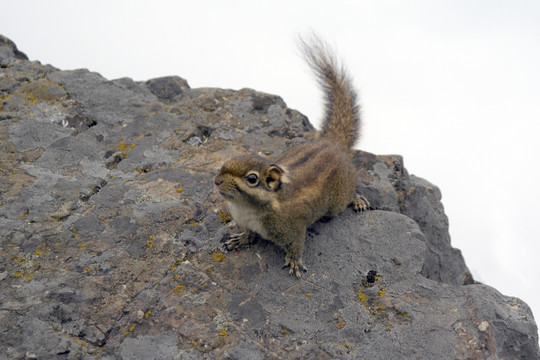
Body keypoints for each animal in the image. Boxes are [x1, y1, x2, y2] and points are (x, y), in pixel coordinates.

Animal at [213, 36, 370, 278]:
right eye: (224, 165)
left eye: (252, 179)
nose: (217, 181)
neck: (248, 209)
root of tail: (331, 143)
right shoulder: (244, 221)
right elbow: (248, 233)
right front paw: (241, 239)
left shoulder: (294, 226)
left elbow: (296, 245)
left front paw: (295, 262)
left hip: (338, 199)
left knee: (349, 195)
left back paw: (358, 200)